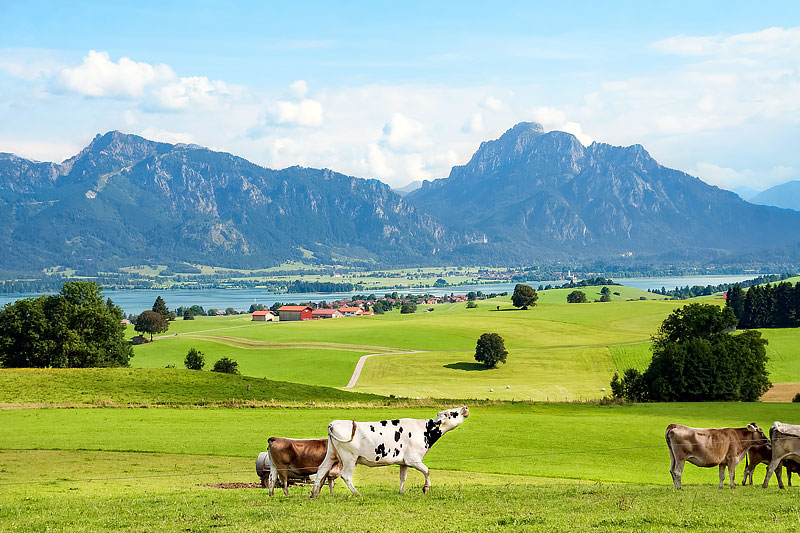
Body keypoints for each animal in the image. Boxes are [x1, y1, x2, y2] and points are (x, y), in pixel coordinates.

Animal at [308, 406, 468, 496]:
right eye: (452, 413)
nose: (465, 407)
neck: (425, 430)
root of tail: (334, 423)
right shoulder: (414, 459)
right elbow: (427, 471)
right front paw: (426, 488)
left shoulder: (404, 462)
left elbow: (403, 477)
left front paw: (401, 492)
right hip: (349, 458)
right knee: (346, 476)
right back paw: (357, 493)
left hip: (331, 455)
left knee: (321, 470)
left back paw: (314, 494)